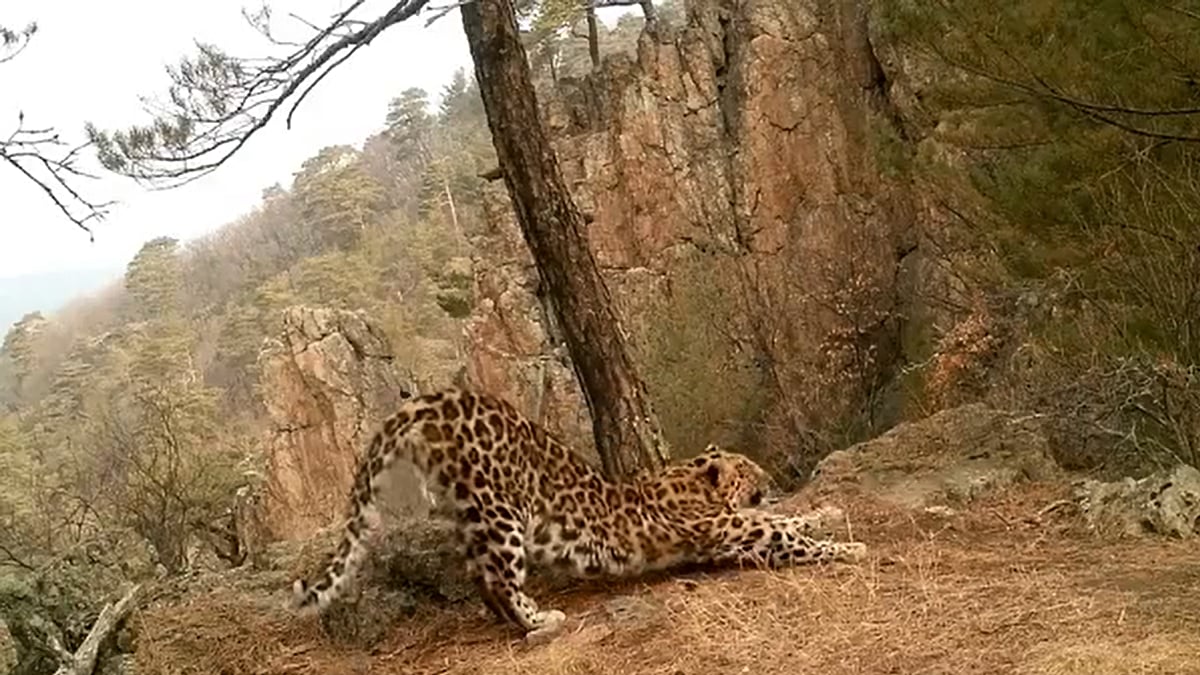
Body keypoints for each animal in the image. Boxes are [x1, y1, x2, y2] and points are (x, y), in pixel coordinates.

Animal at [290, 387, 867, 641]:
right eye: (749, 468)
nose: (768, 477)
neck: (690, 482)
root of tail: (433, 399)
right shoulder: (730, 535)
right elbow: (785, 536)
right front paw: (849, 546)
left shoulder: (740, 524)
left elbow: (789, 520)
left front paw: (828, 509)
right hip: (501, 511)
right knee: (499, 578)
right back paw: (541, 621)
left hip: (468, 510)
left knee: (478, 576)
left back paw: (513, 622)